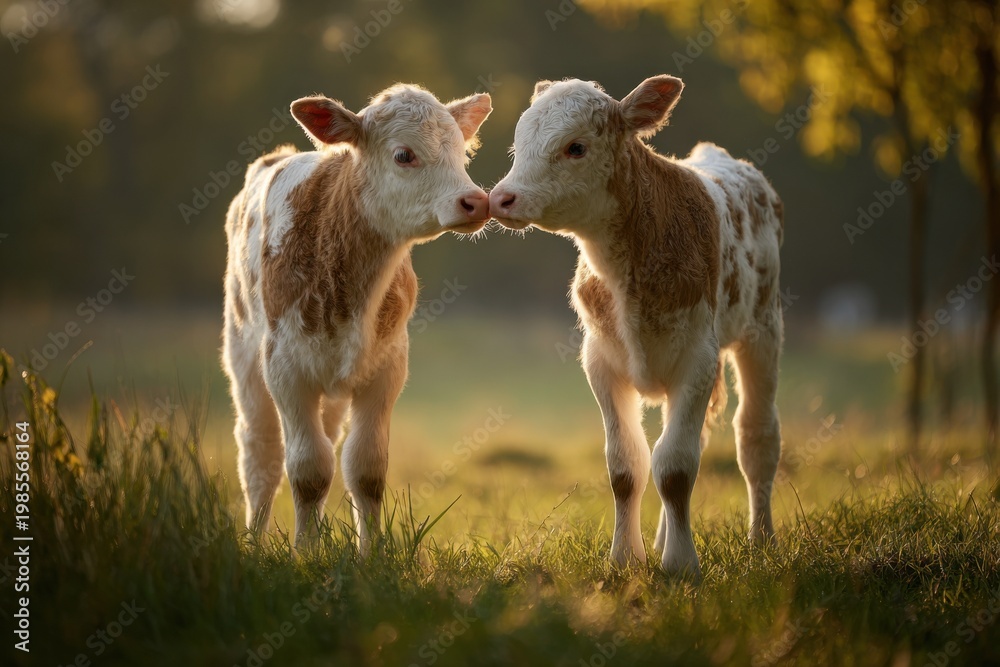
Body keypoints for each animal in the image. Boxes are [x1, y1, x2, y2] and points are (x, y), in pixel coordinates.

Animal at [222, 84, 492, 553]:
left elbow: (365, 470)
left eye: (462, 153)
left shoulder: (387, 368)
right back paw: (253, 540)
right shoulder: (286, 370)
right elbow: (307, 470)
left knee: (327, 443)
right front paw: (306, 553)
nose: (475, 201)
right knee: (261, 456)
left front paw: (371, 554)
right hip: (243, 355)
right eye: (403, 154)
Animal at [489, 76, 784, 578]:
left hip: (763, 327)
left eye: (576, 147)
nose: (502, 197)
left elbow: (677, 466)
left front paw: (681, 565)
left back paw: (761, 539)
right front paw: (627, 559)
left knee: (756, 438)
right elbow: (628, 465)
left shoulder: (698, 359)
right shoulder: (601, 361)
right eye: (518, 143)